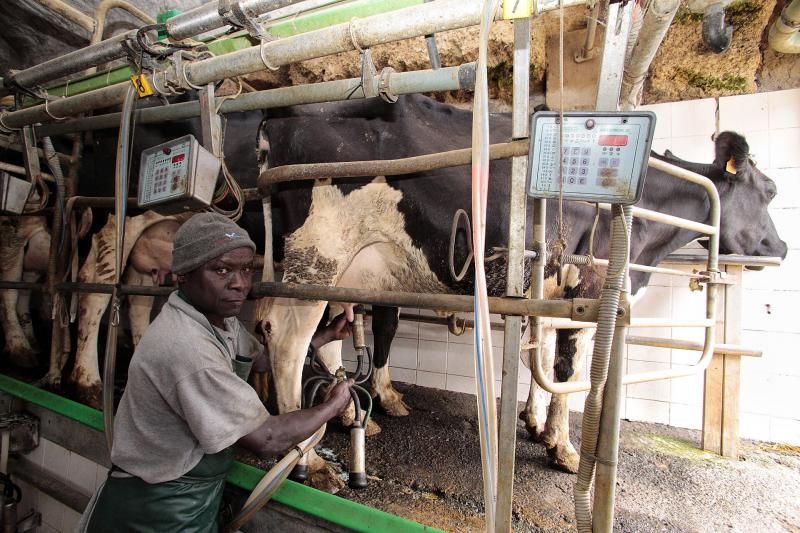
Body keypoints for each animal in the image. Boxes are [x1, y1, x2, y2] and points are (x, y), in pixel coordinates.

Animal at [256, 93, 788, 488]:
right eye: (770, 191)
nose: (781, 246)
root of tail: (281, 117)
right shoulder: (591, 291)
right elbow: (570, 373)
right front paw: (565, 448)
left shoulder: (553, 290)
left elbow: (544, 351)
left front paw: (534, 422)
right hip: (317, 256)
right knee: (287, 337)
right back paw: (308, 458)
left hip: (331, 270)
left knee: (314, 334)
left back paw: (345, 413)